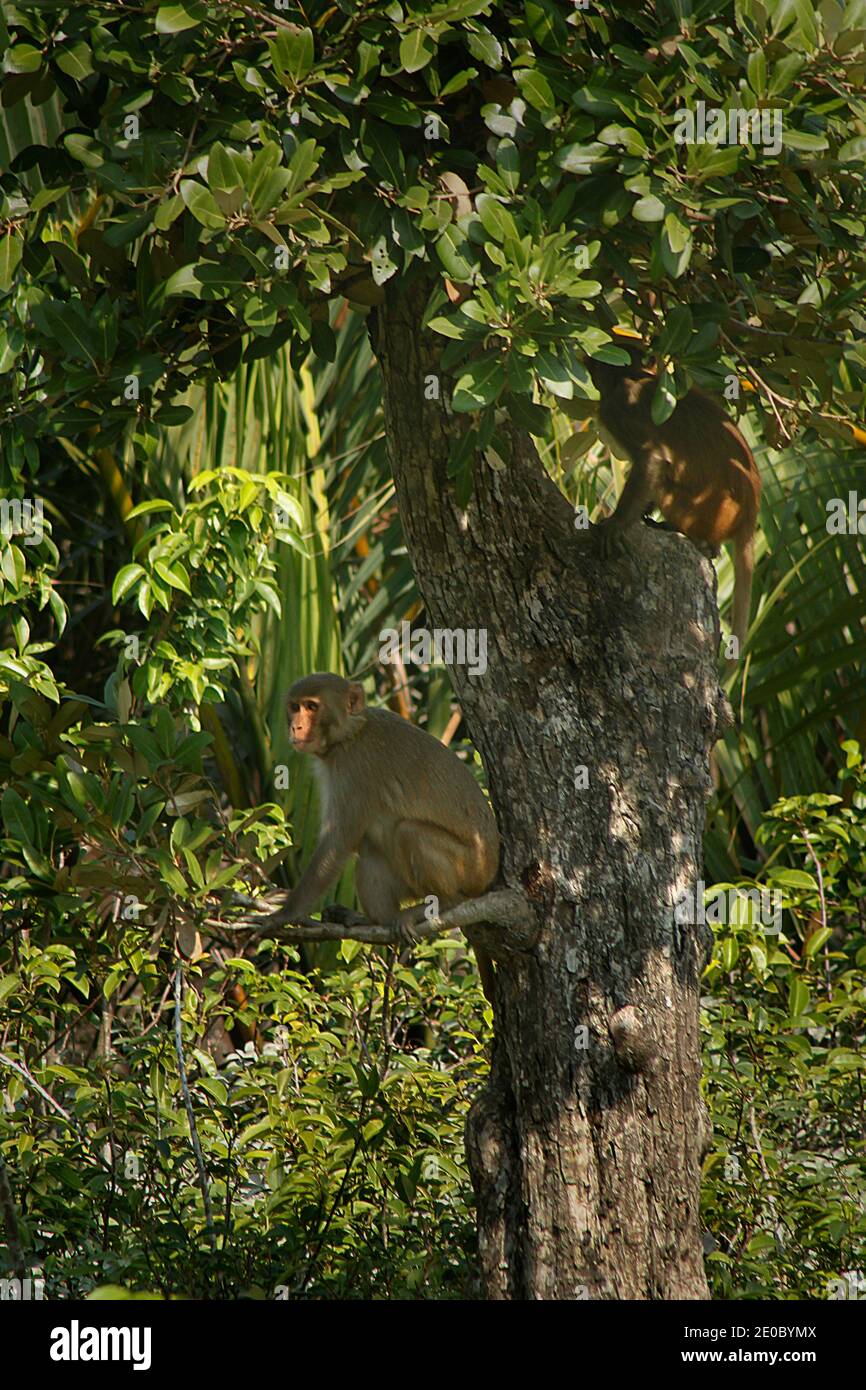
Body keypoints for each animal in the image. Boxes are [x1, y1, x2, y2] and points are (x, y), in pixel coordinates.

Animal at [278, 678, 497, 995]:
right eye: (294, 707)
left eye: (311, 706)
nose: (295, 727)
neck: (351, 734)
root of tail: (489, 873)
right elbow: (354, 841)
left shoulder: (355, 768)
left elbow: (338, 842)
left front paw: (282, 915)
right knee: (371, 850)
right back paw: (376, 919)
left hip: (469, 869)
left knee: (409, 832)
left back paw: (443, 904)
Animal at [586, 353, 761, 644]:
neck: (633, 376)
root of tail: (750, 511)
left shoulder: (616, 408)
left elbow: (653, 459)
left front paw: (617, 523)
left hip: (707, 512)